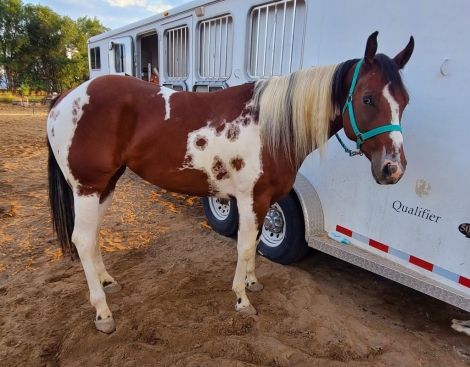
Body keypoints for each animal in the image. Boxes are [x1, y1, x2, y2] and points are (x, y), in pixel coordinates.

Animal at [46, 33, 414, 334]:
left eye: (404, 101)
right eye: (368, 98)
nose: (393, 169)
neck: (271, 126)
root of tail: (65, 97)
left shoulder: (266, 202)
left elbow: (255, 245)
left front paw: (251, 283)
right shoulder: (252, 198)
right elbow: (246, 246)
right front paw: (242, 300)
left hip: (106, 184)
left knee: (93, 236)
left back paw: (108, 283)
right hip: (87, 186)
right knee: (82, 240)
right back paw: (103, 313)